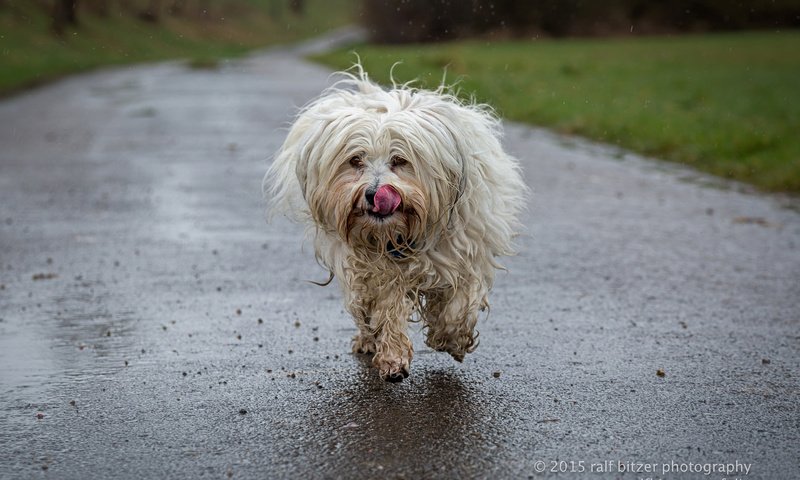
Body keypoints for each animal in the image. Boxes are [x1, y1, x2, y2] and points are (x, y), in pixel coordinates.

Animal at [264, 67, 524, 382]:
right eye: (355, 160)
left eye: (400, 160)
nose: (374, 193)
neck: (403, 231)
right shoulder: (379, 270)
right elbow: (387, 307)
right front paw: (392, 358)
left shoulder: (468, 251)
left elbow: (459, 302)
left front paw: (450, 338)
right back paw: (368, 340)